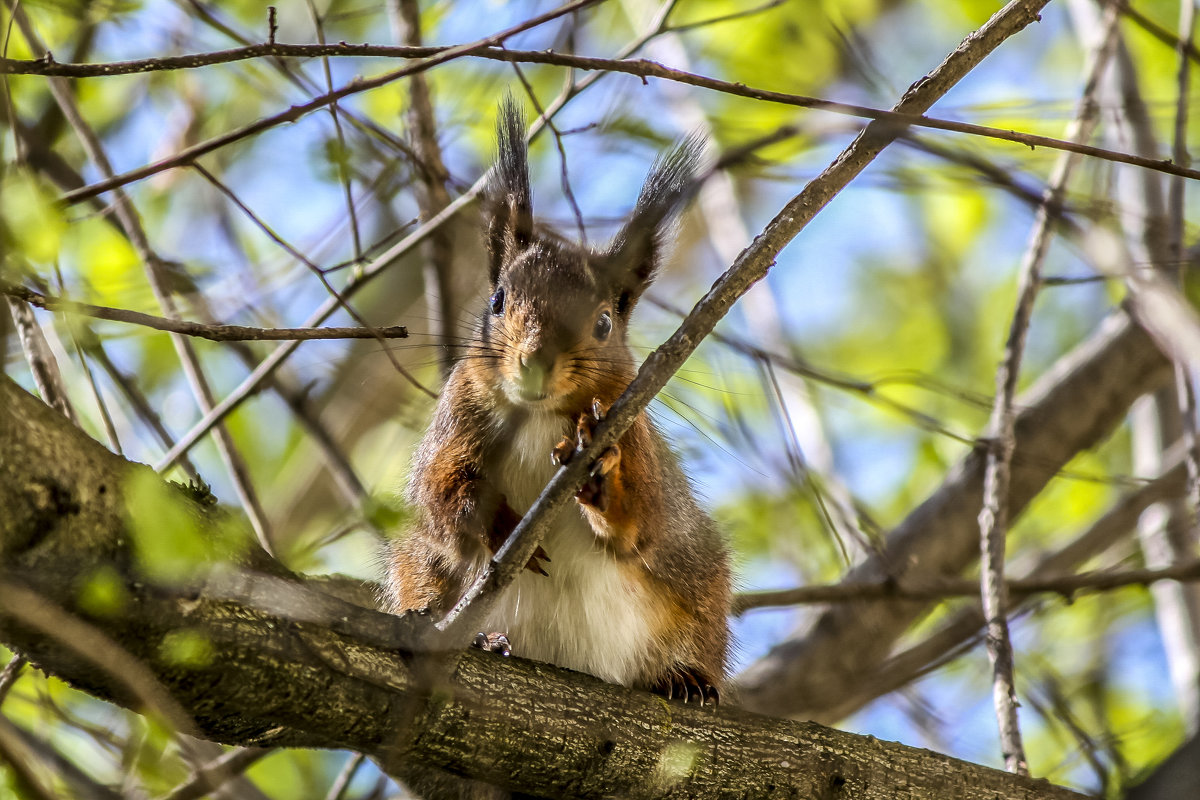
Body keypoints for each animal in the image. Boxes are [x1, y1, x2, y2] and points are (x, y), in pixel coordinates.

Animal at [384, 100, 724, 705]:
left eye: (605, 322)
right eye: (498, 300)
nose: (535, 360)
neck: (539, 418)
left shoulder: (633, 434)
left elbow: (641, 524)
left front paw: (601, 477)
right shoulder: (454, 424)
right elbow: (441, 493)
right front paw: (496, 520)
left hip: (698, 580)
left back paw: (684, 678)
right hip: (417, 568)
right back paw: (487, 640)